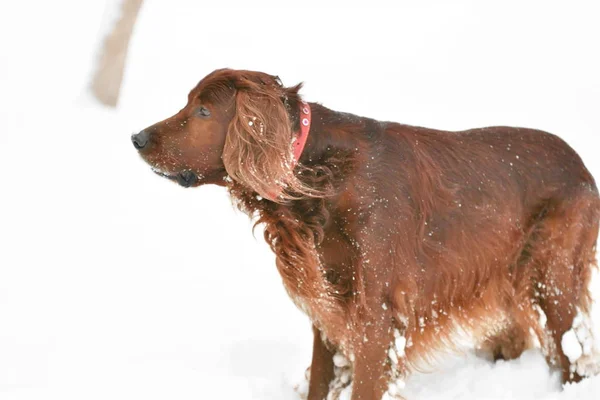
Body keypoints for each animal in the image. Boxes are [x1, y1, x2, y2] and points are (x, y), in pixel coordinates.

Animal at [134, 69, 600, 400]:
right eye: (189, 103)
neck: (318, 173)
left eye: (203, 111)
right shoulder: (328, 308)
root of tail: (581, 166)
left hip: (551, 280)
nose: (136, 137)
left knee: (571, 353)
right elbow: (320, 381)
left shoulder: (376, 314)